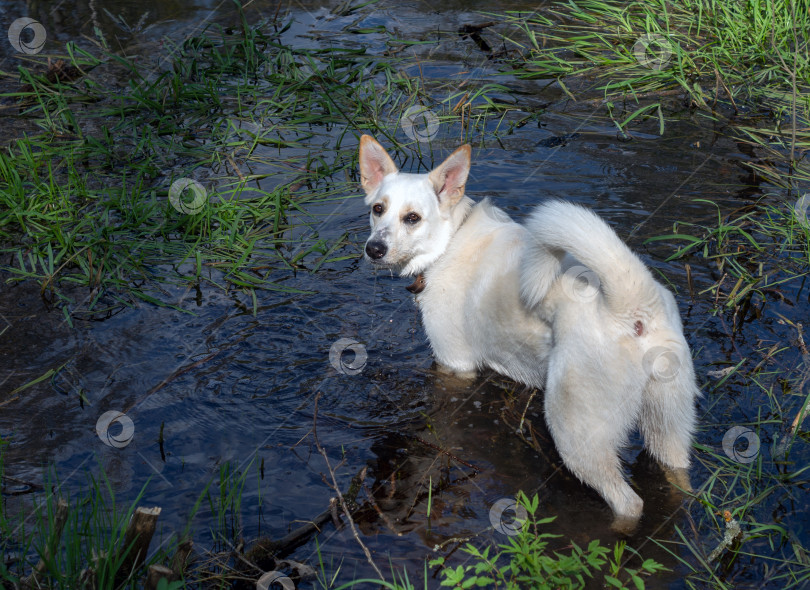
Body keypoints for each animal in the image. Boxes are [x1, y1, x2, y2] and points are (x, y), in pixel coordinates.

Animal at [356, 135, 696, 524]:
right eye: (378, 209)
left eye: (412, 218)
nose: (374, 249)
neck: (451, 239)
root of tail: (634, 306)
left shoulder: (454, 365)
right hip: (667, 428)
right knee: (679, 476)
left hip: (577, 435)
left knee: (628, 503)